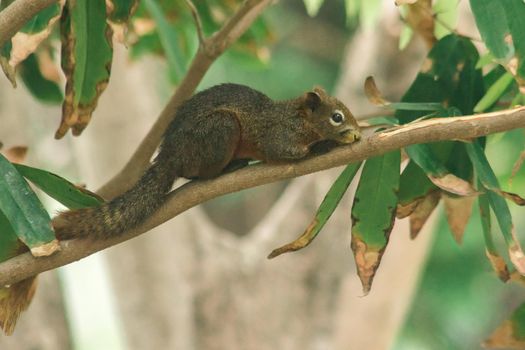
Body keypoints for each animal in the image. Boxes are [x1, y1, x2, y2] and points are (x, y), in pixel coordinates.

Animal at [53, 82, 360, 241]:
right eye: (336, 117)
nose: (354, 128)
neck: (297, 118)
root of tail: (169, 155)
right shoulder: (278, 136)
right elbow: (291, 151)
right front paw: (333, 142)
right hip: (220, 130)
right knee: (199, 174)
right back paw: (228, 168)